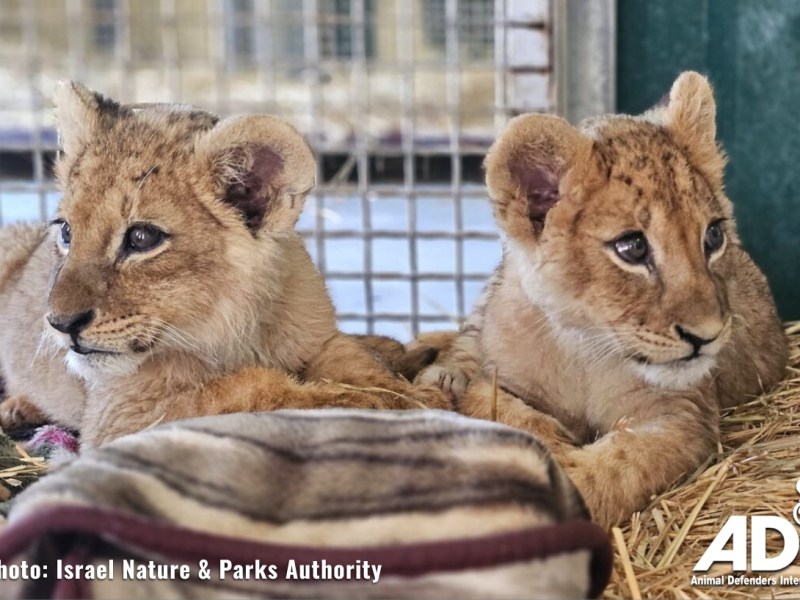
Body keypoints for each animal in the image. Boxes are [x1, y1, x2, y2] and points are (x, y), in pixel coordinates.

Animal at [0, 81, 448, 447]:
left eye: (142, 239)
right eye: (67, 232)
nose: (59, 324)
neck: (232, 327)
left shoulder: (319, 338)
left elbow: (352, 358)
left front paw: (407, 391)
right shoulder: (125, 415)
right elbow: (253, 393)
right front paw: (380, 404)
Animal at [414, 72, 789, 528]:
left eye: (714, 236)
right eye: (632, 248)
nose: (708, 335)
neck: (583, 347)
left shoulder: (681, 416)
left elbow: (619, 467)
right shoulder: (499, 381)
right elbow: (495, 405)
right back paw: (442, 376)